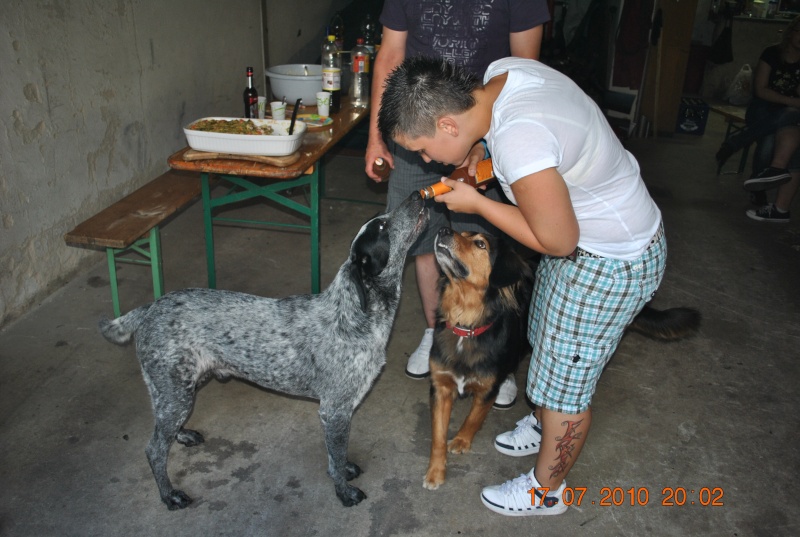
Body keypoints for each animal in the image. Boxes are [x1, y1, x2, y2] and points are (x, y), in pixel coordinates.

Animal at [101, 192, 432, 506]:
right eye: (382, 226)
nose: (419, 194)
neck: (354, 316)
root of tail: (149, 308)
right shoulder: (335, 409)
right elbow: (336, 458)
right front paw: (344, 491)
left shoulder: (337, 412)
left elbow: (337, 455)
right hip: (174, 391)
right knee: (155, 449)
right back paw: (169, 495)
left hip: (182, 386)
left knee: (165, 427)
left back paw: (182, 434)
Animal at [424, 227, 700, 490]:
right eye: (461, 233)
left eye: (480, 243)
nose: (443, 231)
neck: (467, 325)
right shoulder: (440, 386)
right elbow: (437, 436)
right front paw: (435, 472)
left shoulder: (487, 390)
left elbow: (473, 418)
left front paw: (461, 440)